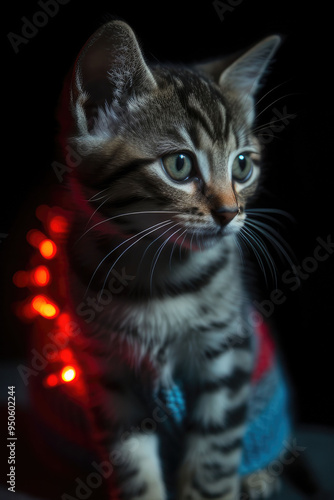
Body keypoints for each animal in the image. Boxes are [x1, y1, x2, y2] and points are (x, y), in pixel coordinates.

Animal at [55, 20, 284, 500]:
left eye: (242, 166)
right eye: (179, 165)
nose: (229, 213)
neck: (155, 275)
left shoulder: (229, 352)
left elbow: (214, 461)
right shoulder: (108, 371)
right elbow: (131, 462)